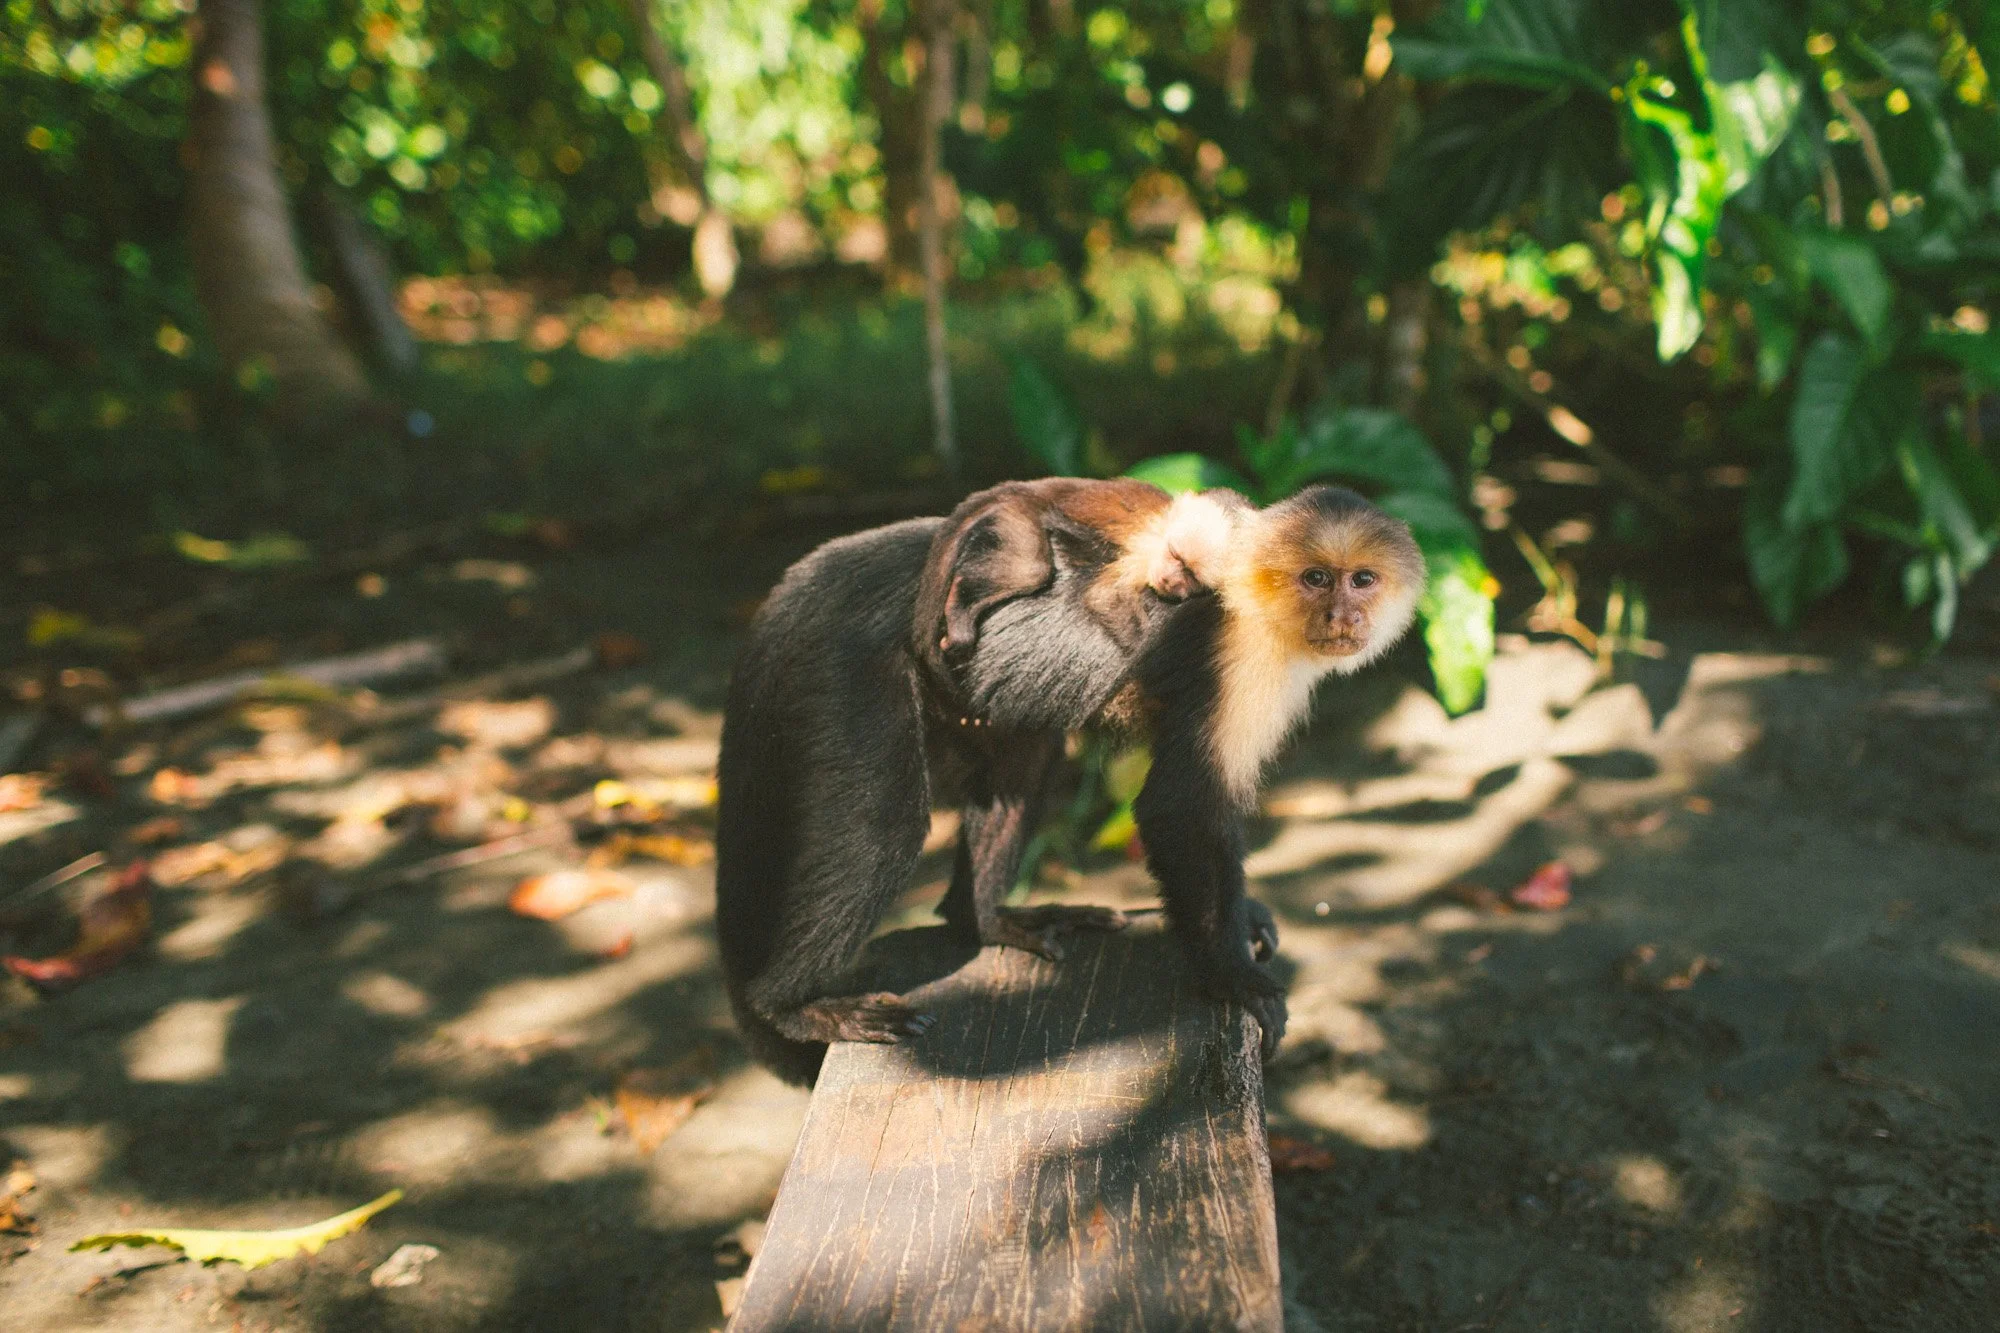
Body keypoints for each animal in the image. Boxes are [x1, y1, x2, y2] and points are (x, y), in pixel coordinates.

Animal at [716, 477, 1240, 1085]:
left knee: (1023, 762)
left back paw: (985, 921)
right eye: (1178, 566)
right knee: (884, 829)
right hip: (846, 657)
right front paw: (1236, 970)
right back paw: (789, 1007)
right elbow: (1183, 805)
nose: (1172, 586)